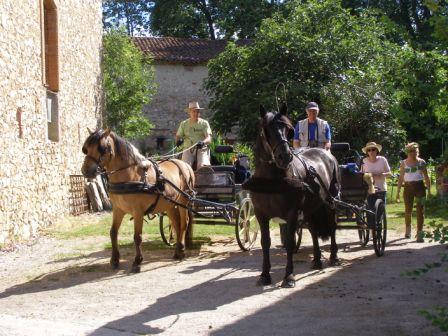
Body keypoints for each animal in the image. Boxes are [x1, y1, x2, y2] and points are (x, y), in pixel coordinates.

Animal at [81, 127, 193, 272]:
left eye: (102, 148)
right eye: (86, 148)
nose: (85, 171)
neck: (129, 176)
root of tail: (184, 164)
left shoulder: (138, 211)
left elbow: (137, 236)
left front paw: (137, 261)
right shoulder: (118, 209)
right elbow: (113, 232)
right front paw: (115, 259)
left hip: (183, 202)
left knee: (184, 223)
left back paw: (182, 250)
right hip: (169, 205)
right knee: (176, 225)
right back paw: (177, 251)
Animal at [243, 104, 342, 286]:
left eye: (288, 129)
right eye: (266, 130)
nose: (285, 156)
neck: (272, 181)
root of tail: (326, 154)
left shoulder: (292, 213)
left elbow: (289, 243)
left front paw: (289, 276)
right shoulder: (261, 214)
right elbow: (265, 242)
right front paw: (264, 275)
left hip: (331, 202)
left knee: (332, 226)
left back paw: (334, 257)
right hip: (311, 207)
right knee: (313, 229)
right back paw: (317, 260)